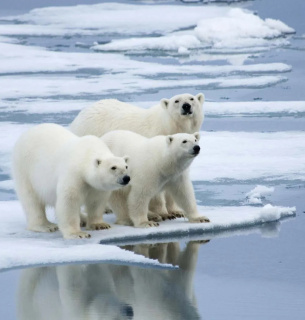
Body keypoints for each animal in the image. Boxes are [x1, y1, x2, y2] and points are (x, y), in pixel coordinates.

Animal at [70, 92, 204, 218]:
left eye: (191, 98)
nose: (186, 106)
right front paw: (163, 213)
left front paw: (176, 211)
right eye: (176, 101)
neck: (168, 126)